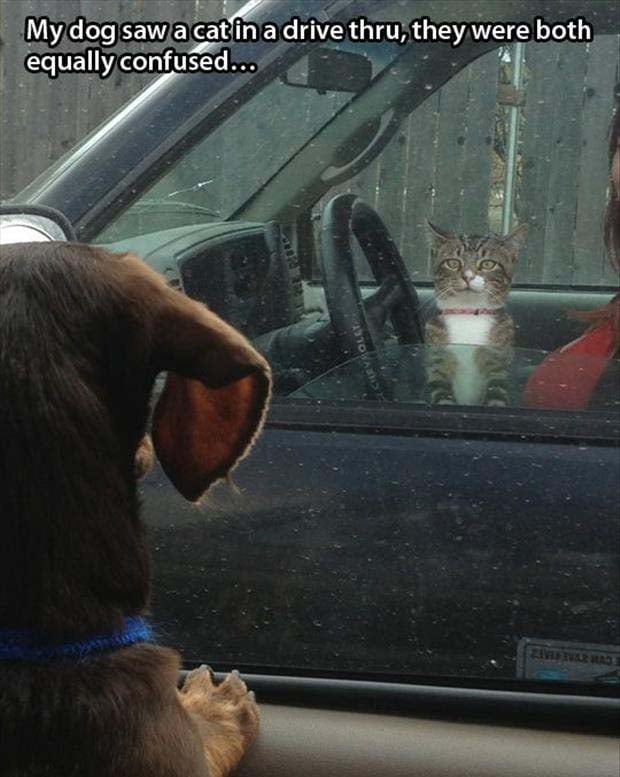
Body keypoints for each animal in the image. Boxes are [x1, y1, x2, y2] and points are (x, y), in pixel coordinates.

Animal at [426, 220, 528, 406]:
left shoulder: (498, 357)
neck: (468, 315)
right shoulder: (437, 356)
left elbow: (497, 389)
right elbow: (440, 389)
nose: (467, 276)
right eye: (453, 263)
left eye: (488, 264)